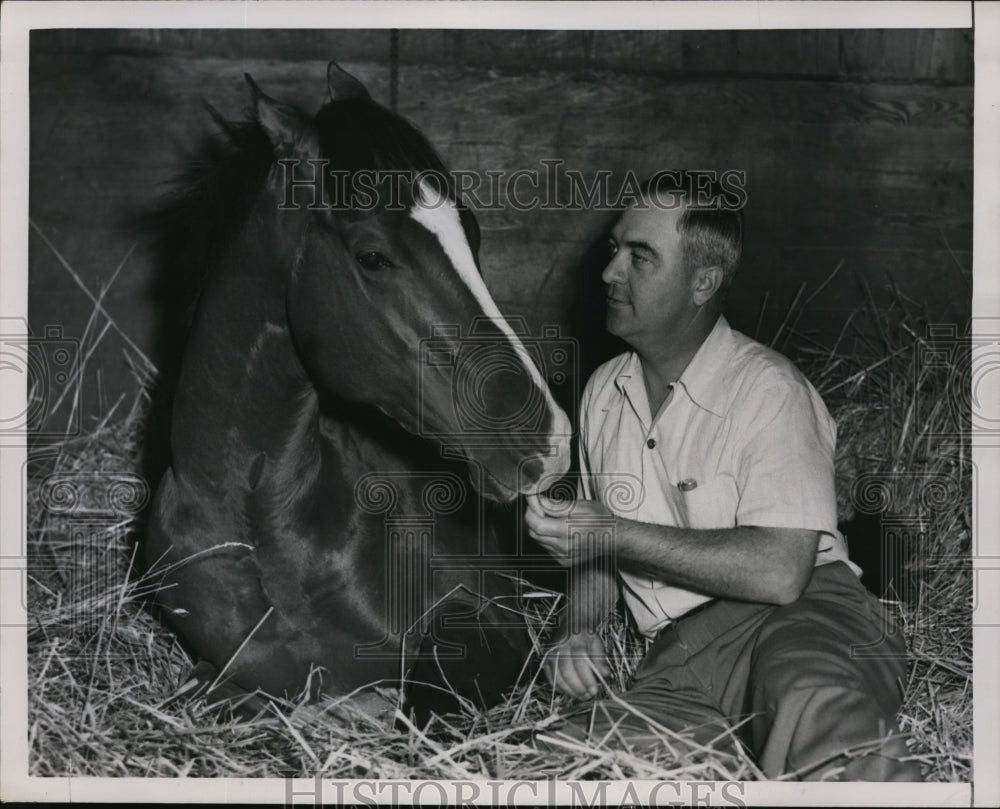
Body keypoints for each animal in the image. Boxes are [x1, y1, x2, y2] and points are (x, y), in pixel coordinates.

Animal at [146, 63, 576, 720]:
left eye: (474, 234)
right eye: (372, 256)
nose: (548, 440)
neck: (264, 528)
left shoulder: (490, 623)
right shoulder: (218, 676)